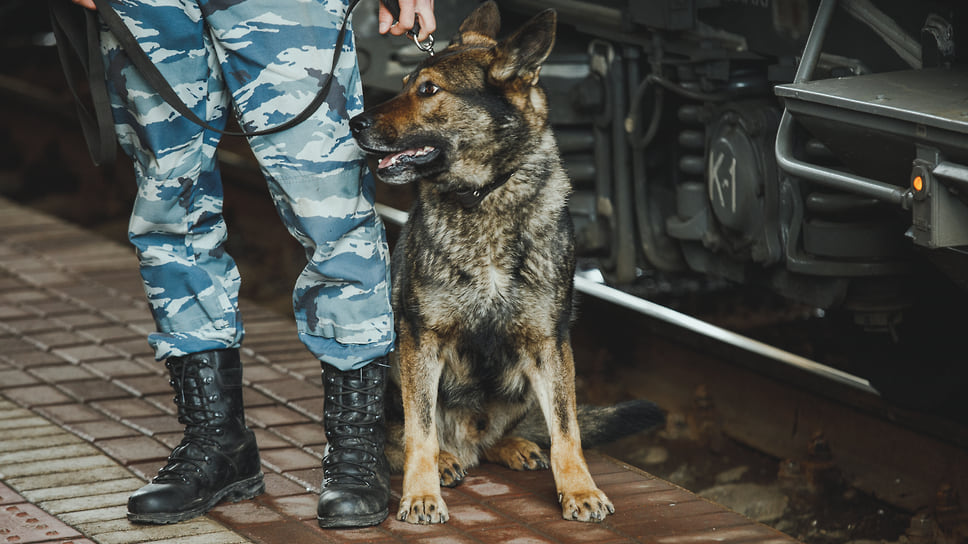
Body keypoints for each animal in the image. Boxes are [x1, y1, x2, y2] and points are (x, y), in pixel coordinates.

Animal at [350, 2, 664, 524]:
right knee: (397, 435)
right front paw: (421, 493)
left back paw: (512, 446)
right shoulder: (421, 339)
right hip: (389, 360)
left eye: (428, 89)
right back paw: (446, 459)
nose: (354, 122)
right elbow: (419, 432)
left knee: (500, 435)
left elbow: (567, 429)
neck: (484, 198)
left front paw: (579, 489)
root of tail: (469, 441)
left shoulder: (549, 343)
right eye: (405, 83)